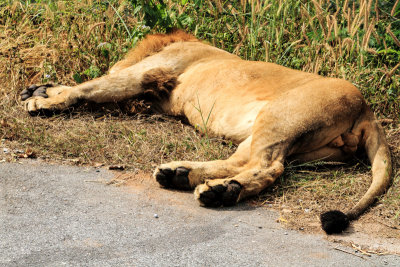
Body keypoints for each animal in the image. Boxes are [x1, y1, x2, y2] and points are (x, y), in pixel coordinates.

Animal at [21, 29, 390, 234]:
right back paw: (183, 175)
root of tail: (368, 110)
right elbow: (93, 87)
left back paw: (220, 191)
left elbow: (91, 86)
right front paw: (40, 89)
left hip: (281, 117)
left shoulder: (148, 73)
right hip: (278, 133)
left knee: (269, 166)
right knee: (246, 161)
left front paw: (43, 100)